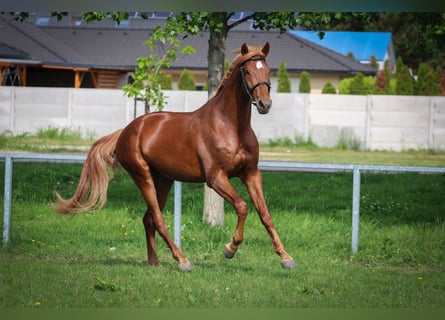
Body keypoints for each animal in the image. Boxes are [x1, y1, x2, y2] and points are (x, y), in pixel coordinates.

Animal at [54, 42, 294, 272]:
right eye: (247, 71)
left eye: (268, 70)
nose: (264, 104)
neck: (231, 127)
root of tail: (126, 130)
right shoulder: (216, 178)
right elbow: (242, 207)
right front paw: (230, 249)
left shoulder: (251, 174)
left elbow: (265, 214)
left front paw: (286, 258)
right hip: (143, 176)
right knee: (158, 219)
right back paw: (182, 261)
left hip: (163, 180)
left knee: (148, 218)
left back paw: (154, 262)